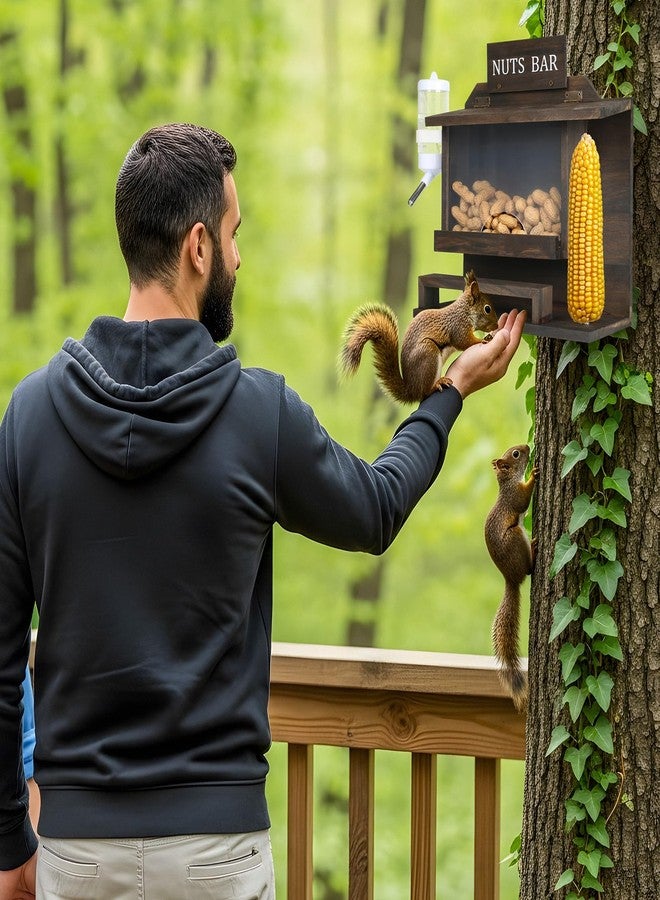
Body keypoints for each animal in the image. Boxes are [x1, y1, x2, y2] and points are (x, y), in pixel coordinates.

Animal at [338, 271, 498, 404]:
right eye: (487, 309)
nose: (497, 325)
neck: (465, 312)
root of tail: (411, 390)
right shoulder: (458, 327)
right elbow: (464, 342)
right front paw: (483, 340)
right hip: (428, 353)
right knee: (425, 393)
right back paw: (437, 384)